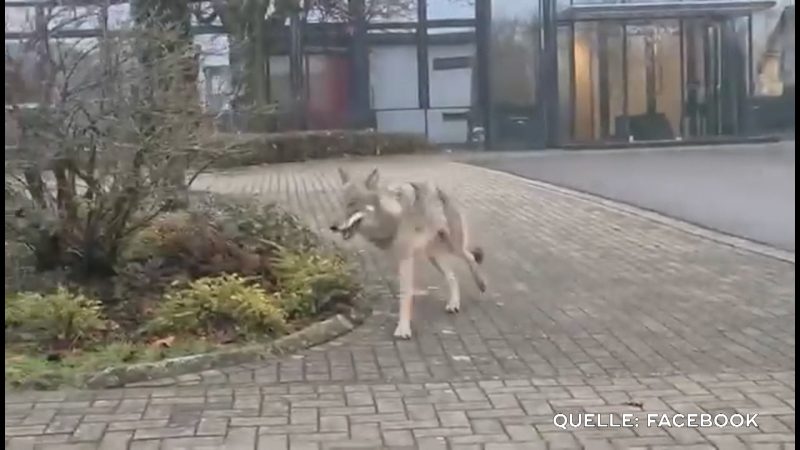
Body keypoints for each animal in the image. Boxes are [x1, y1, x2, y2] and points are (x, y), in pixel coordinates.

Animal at [330, 167, 487, 339]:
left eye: (352, 203)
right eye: (340, 203)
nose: (333, 227)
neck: (390, 220)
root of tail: (441, 189)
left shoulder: (405, 258)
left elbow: (405, 296)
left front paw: (403, 329)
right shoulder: (395, 260)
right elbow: (404, 294)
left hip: (454, 248)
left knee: (471, 257)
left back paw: (481, 285)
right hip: (434, 256)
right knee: (453, 277)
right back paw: (454, 304)